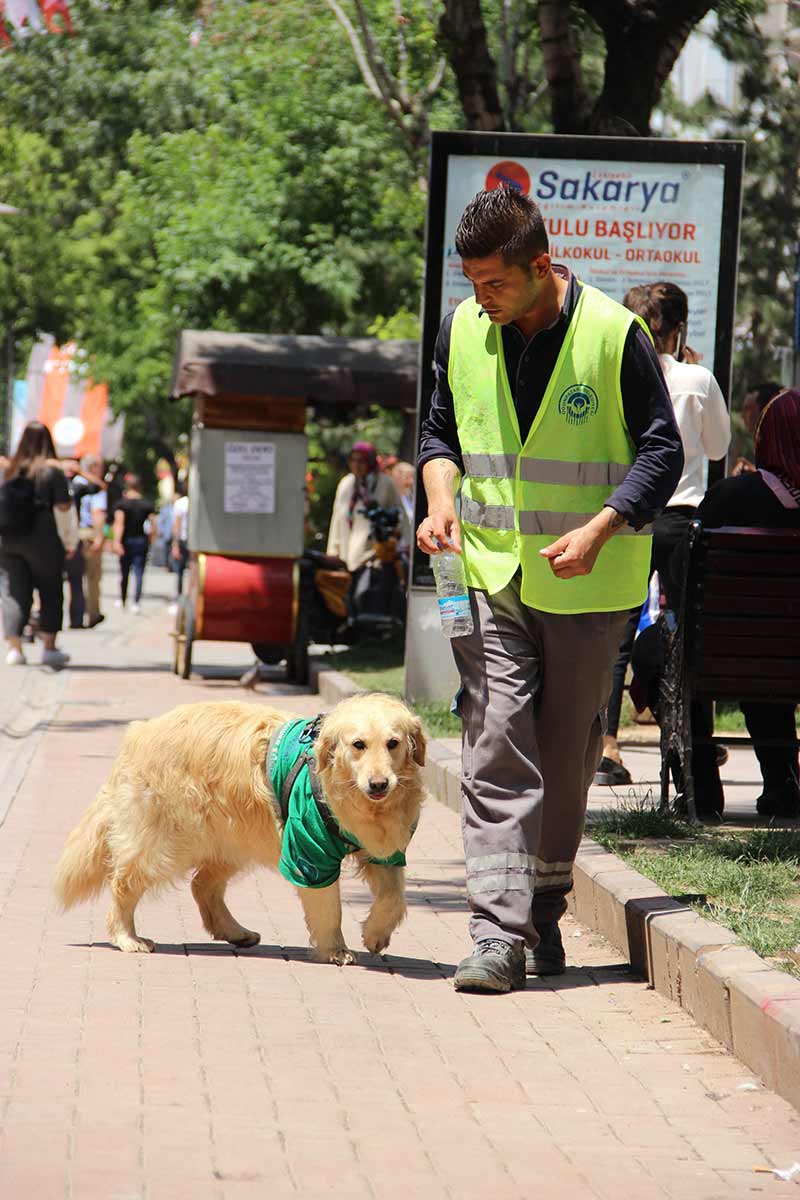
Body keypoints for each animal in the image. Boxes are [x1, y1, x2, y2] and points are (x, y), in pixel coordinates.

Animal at [51, 696, 424, 964]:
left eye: (393, 743)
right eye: (358, 745)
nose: (379, 784)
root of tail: (139, 732)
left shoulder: (384, 851)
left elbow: (394, 897)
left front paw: (375, 934)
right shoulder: (308, 853)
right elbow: (329, 907)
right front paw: (335, 949)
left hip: (233, 839)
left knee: (203, 886)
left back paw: (236, 932)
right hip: (164, 843)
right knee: (124, 882)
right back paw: (127, 937)